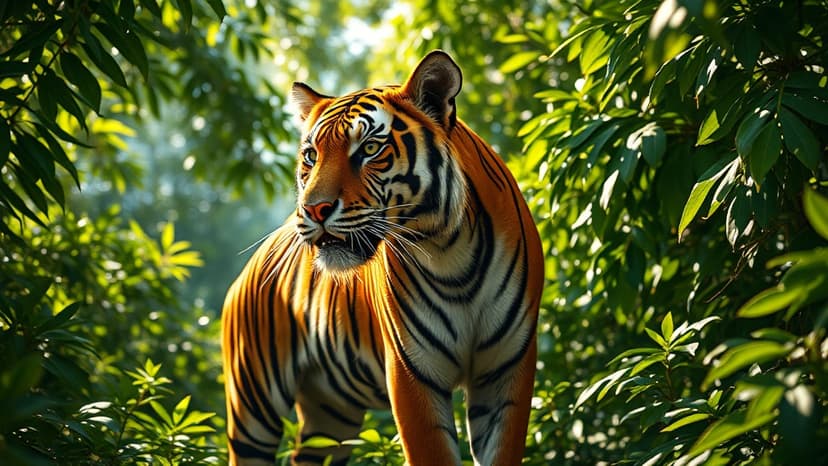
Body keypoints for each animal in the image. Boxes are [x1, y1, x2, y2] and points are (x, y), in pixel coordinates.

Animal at [222, 50, 544, 466]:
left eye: (370, 149)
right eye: (311, 155)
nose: (313, 209)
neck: (449, 251)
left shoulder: (508, 369)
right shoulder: (411, 372)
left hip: (331, 413)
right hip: (253, 403)